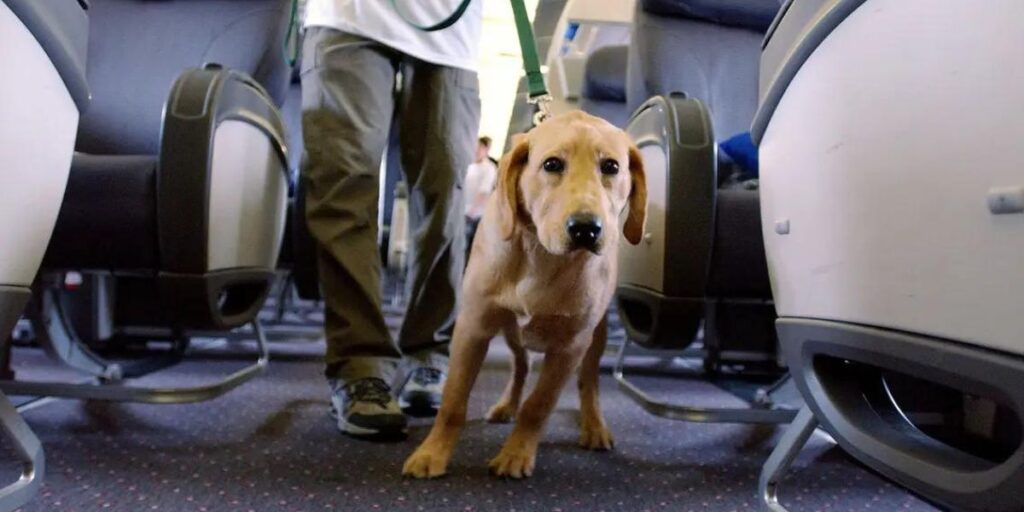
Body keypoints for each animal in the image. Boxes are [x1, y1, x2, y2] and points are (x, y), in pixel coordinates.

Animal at [403, 110, 643, 477]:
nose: (586, 229)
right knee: (521, 365)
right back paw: (506, 404)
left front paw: (517, 454)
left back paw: (594, 425)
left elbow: (538, 406)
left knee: (588, 382)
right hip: (510, 331)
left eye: (611, 167)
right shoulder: (473, 327)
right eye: (552, 164)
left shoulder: (570, 347)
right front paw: (433, 453)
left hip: (596, 336)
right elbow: (453, 401)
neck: (540, 255)